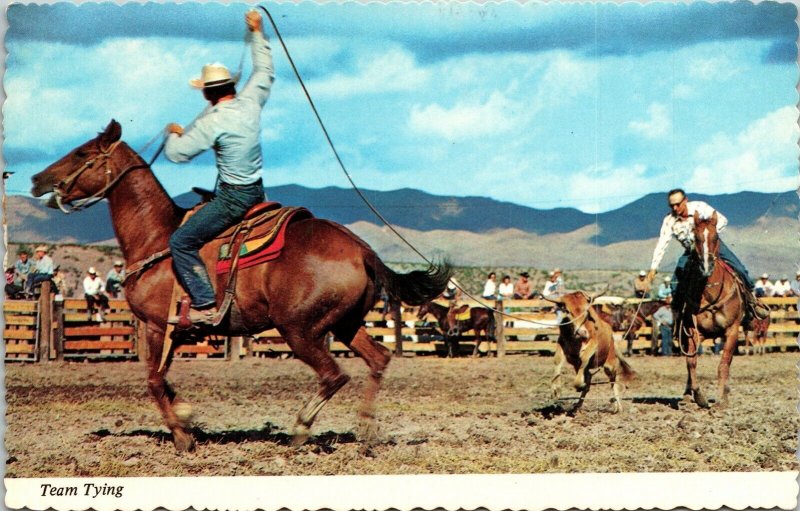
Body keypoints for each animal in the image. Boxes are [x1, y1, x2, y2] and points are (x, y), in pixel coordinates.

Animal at [29, 121, 450, 452]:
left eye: (82, 152)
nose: (36, 180)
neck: (157, 239)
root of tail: (361, 249)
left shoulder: (156, 327)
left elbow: (153, 381)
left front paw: (183, 435)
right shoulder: (172, 333)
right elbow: (164, 383)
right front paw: (187, 418)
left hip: (299, 328)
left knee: (334, 374)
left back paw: (301, 429)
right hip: (345, 324)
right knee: (378, 359)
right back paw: (365, 429)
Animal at [680, 211, 748, 408]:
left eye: (716, 236)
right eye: (695, 237)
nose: (706, 266)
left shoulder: (732, 330)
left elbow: (723, 363)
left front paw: (721, 399)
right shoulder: (694, 331)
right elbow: (691, 362)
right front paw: (699, 396)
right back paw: (687, 396)